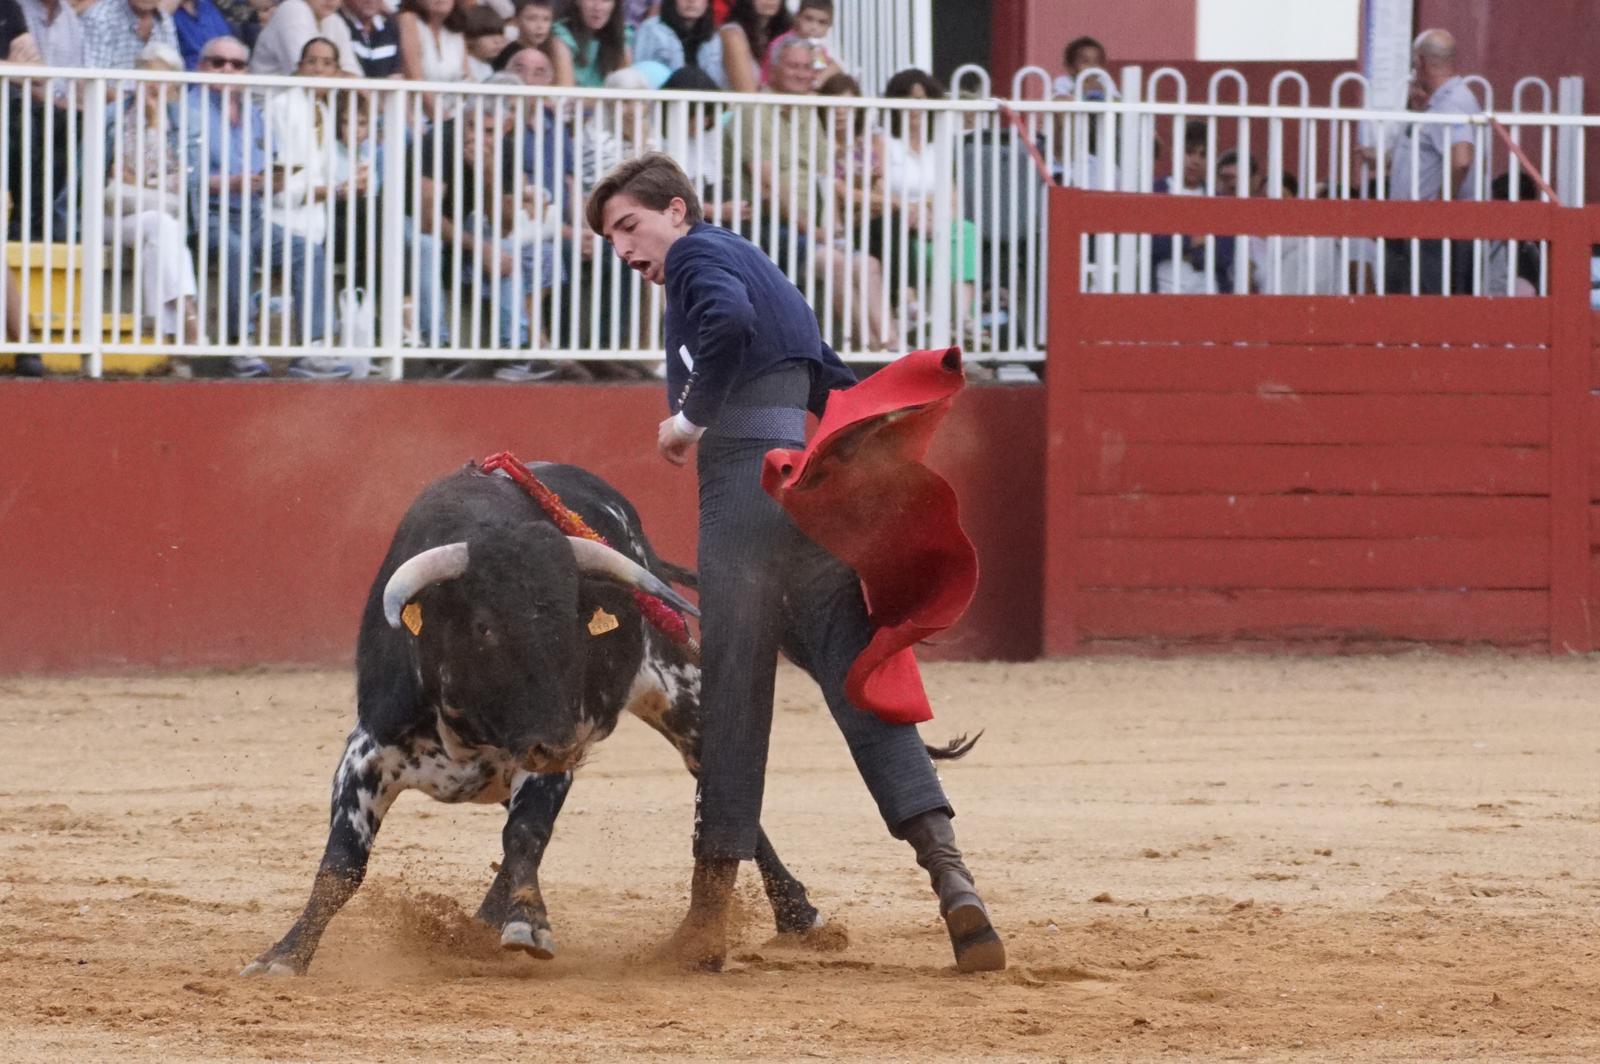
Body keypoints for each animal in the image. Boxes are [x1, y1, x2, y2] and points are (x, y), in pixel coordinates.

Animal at [238, 460, 972, 972]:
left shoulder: (554, 751)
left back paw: (800, 917)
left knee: (727, 796)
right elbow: (341, 865)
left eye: (572, 622)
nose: (556, 740)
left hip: (682, 696)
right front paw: (284, 956)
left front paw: (529, 927)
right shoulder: (368, 751)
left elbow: (525, 835)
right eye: (483, 626)